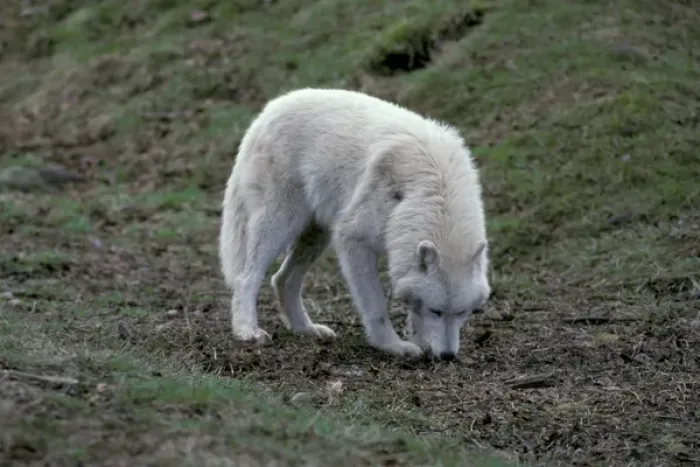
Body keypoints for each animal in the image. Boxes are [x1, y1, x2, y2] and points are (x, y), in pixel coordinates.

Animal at [219, 88, 491, 361]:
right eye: (436, 311)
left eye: (462, 312)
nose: (448, 356)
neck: (433, 191)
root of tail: (268, 111)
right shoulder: (354, 240)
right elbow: (376, 307)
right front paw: (393, 346)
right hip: (280, 224)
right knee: (246, 278)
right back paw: (247, 331)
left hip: (317, 235)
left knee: (282, 279)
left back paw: (306, 329)